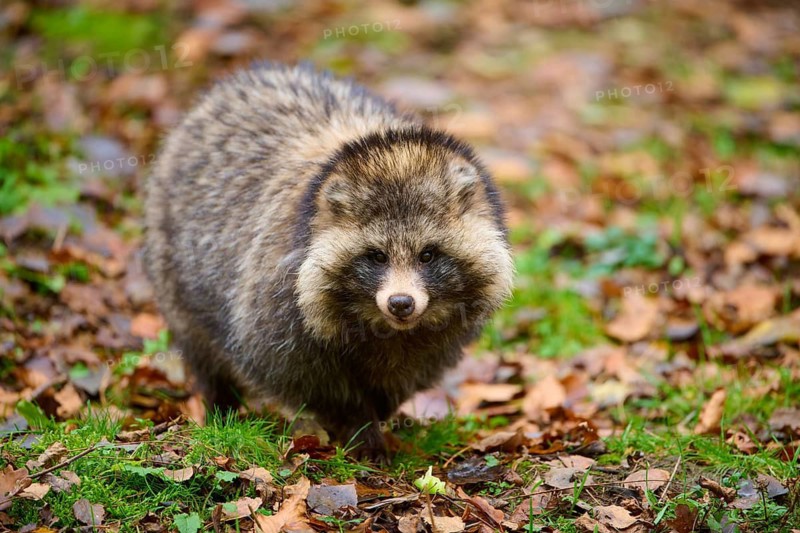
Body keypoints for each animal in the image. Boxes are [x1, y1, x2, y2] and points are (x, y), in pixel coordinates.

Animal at [144, 63, 514, 456]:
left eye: (428, 254)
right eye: (376, 256)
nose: (401, 303)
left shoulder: (441, 332)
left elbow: (408, 372)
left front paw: (382, 408)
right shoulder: (276, 297)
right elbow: (301, 374)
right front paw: (359, 423)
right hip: (170, 259)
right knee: (200, 343)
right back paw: (220, 402)